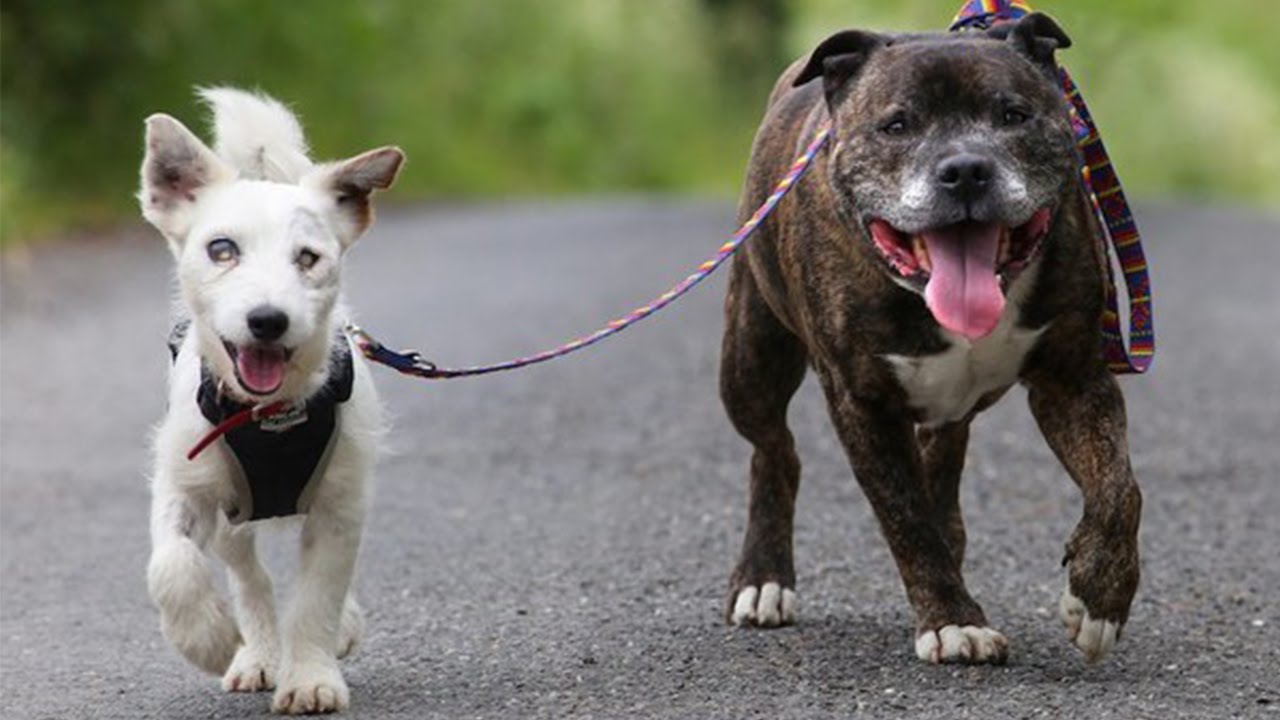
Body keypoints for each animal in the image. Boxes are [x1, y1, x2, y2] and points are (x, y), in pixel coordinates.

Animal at [138, 87, 401, 707]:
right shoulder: (183, 482)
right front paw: (206, 638)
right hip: (234, 516)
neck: (270, 415)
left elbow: (318, 596)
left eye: (307, 258)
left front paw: (311, 676)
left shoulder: (340, 506)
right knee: (248, 576)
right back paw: (254, 653)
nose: (268, 319)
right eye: (222, 249)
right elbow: (171, 565)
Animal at [721, 12, 1141, 661]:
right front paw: (952, 620)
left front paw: (1099, 598)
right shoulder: (863, 403)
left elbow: (1119, 487)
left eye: (1013, 115)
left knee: (939, 462)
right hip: (751, 362)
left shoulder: (1072, 380)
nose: (965, 169)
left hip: (947, 406)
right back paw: (764, 578)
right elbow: (905, 519)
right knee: (775, 451)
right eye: (897, 125)